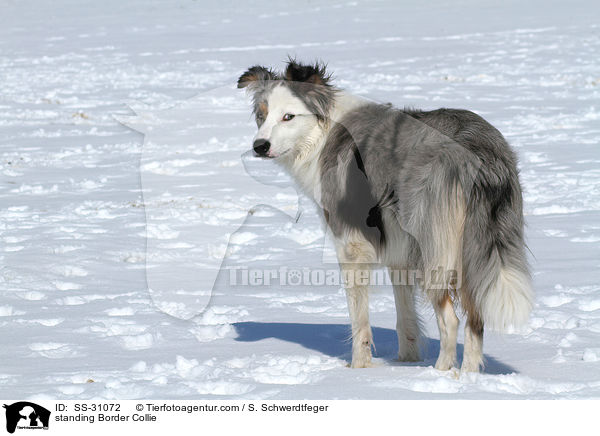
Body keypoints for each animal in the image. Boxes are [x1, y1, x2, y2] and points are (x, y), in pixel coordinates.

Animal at [237, 58, 532, 372]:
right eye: (261, 116)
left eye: (288, 117)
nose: (260, 146)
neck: (323, 131)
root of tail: (477, 152)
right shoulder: (399, 252)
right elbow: (405, 318)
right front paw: (405, 361)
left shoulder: (351, 247)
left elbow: (359, 321)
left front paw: (359, 369)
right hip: (474, 250)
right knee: (476, 320)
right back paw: (467, 376)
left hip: (435, 249)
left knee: (451, 320)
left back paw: (439, 374)